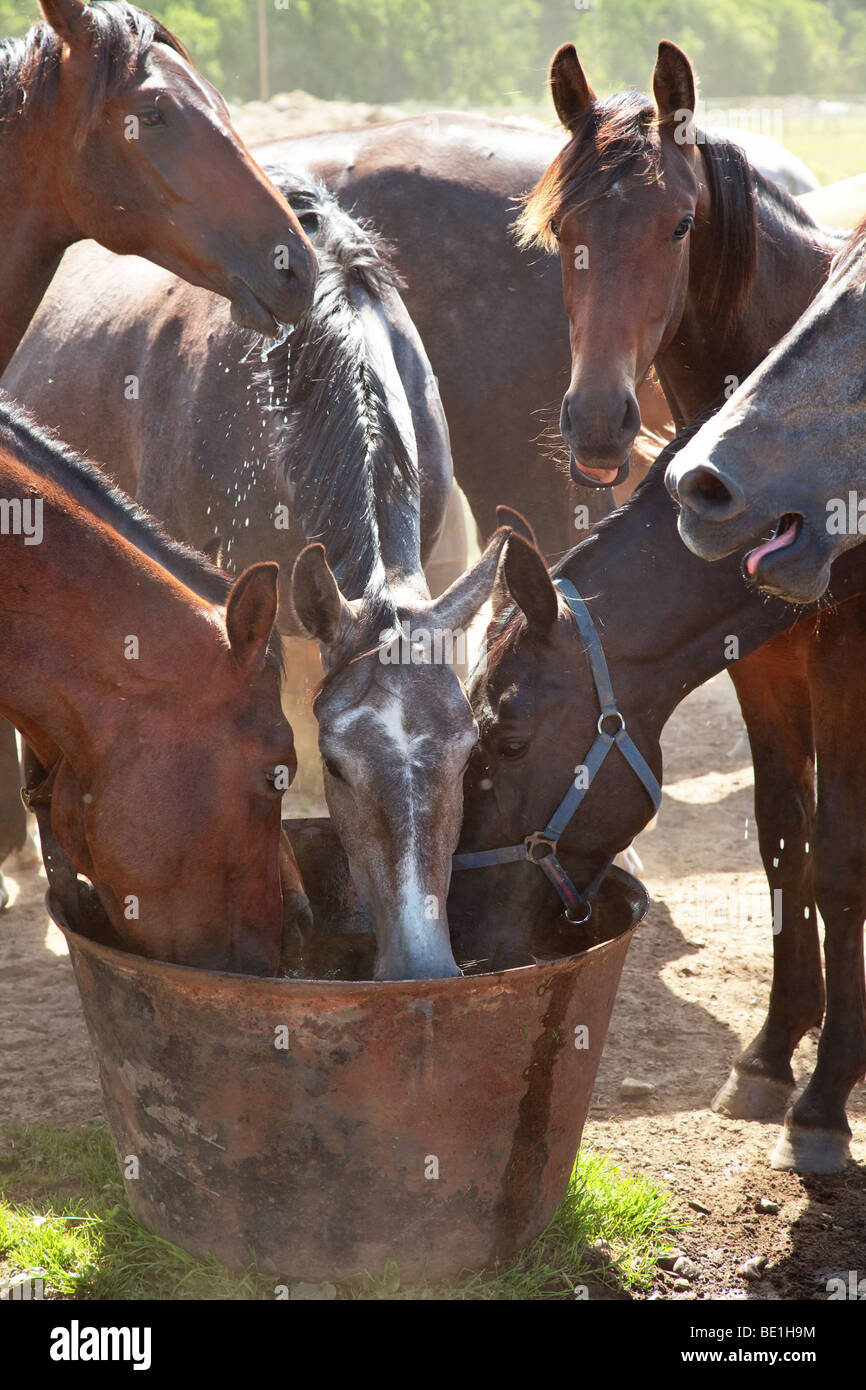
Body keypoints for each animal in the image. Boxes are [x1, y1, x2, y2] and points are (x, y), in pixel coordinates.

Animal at [450, 430, 866, 1174]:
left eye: (510, 741)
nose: (461, 934)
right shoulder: (763, 654)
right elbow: (784, 836)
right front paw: (772, 1054)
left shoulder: (843, 642)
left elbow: (840, 863)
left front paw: (822, 1102)